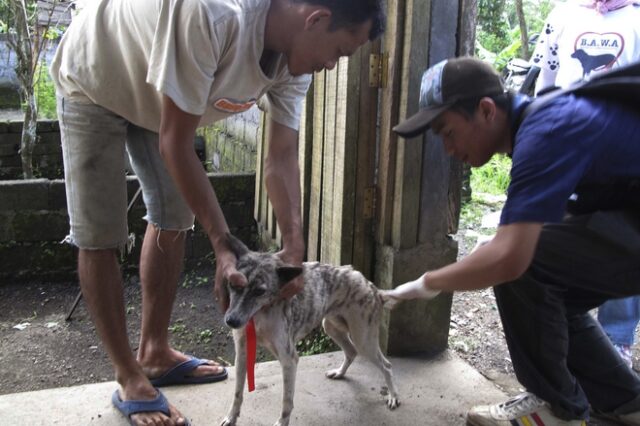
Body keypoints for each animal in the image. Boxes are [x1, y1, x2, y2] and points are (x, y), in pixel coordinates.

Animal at [220, 235, 400, 424]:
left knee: (386, 365)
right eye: (232, 283)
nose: (231, 321)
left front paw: (282, 422)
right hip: (331, 327)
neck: (260, 315)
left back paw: (393, 396)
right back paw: (339, 373)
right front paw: (231, 417)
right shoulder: (242, 354)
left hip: (363, 340)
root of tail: (373, 287)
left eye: (260, 291)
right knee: (351, 351)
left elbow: (286, 401)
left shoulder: (289, 359)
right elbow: (237, 393)